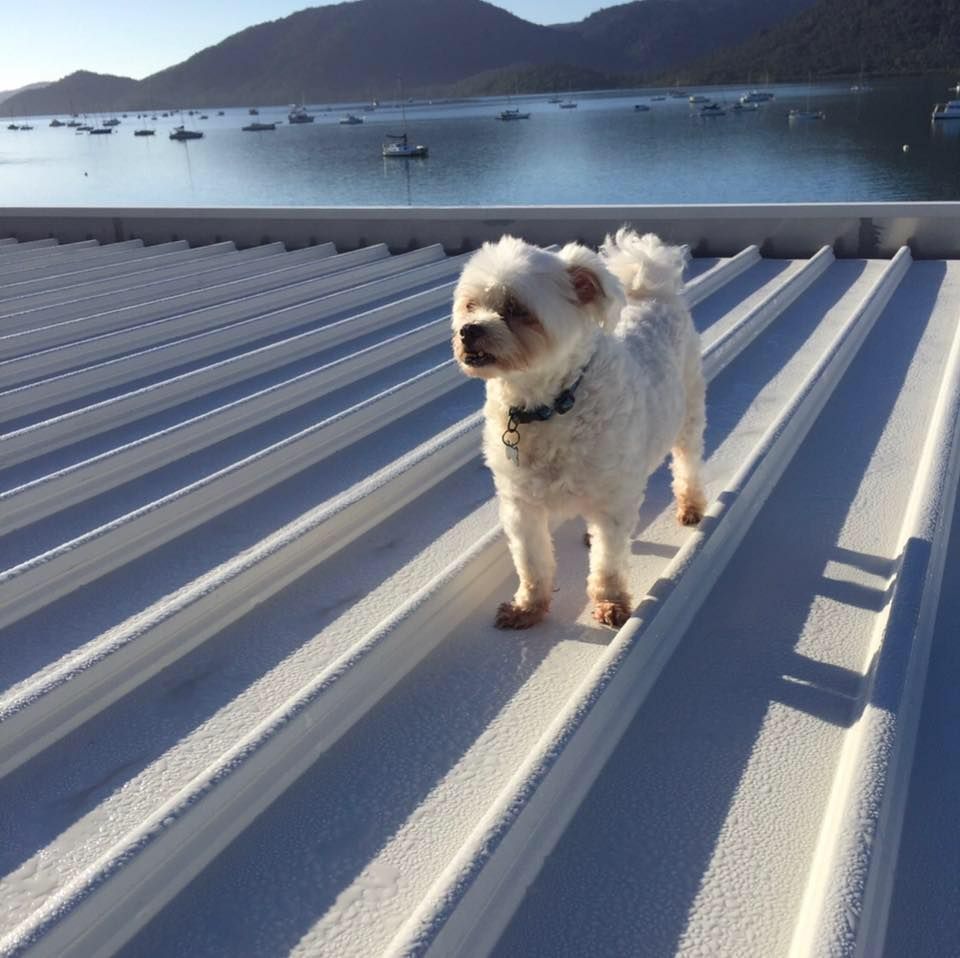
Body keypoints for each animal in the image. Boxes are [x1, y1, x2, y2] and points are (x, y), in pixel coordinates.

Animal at [450, 227, 704, 632]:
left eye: (517, 310)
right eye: (470, 305)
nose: (468, 331)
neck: (548, 406)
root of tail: (649, 289)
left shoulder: (613, 500)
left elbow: (609, 562)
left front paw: (611, 603)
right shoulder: (520, 505)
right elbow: (532, 563)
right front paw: (528, 607)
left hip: (689, 414)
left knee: (688, 463)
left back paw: (691, 505)